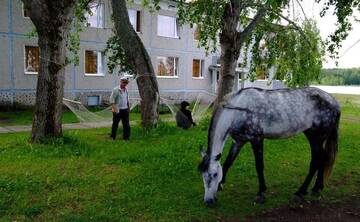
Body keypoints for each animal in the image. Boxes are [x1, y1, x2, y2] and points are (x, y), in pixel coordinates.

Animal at [198, 87, 338, 206]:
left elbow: (259, 166)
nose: (208, 201)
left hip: (316, 137)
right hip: (313, 136)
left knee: (316, 161)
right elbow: (228, 163)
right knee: (323, 158)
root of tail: (334, 102)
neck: (239, 110)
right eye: (203, 175)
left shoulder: (257, 140)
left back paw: (300, 192)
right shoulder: (238, 141)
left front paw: (261, 193)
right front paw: (221, 185)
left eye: (214, 174)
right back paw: (316, 188)